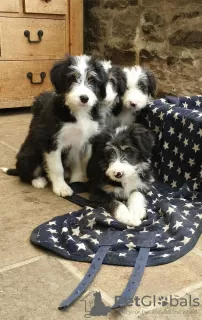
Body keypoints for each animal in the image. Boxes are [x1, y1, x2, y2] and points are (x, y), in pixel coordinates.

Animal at [1, 54, 108, 198]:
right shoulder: (51, 141)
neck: (78, 112)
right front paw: (61, 188)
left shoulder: (82, 141)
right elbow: (57, 168)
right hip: (29, 156)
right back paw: (39, 180)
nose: (84, 98)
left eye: (92, 80)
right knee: (26, 174)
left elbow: (79, 163)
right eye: (72, 78)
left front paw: (77, 181)